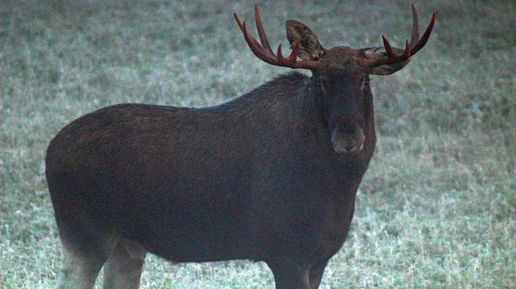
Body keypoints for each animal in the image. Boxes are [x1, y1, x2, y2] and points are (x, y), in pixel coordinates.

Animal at [47, 5, 436, 288]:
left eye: (364, 81)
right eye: (320, 81)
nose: (348, 138)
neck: (338, 189)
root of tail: (49, 153)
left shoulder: (321, 255)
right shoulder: (285, 251)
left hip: (127, 243)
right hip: (85, 234)